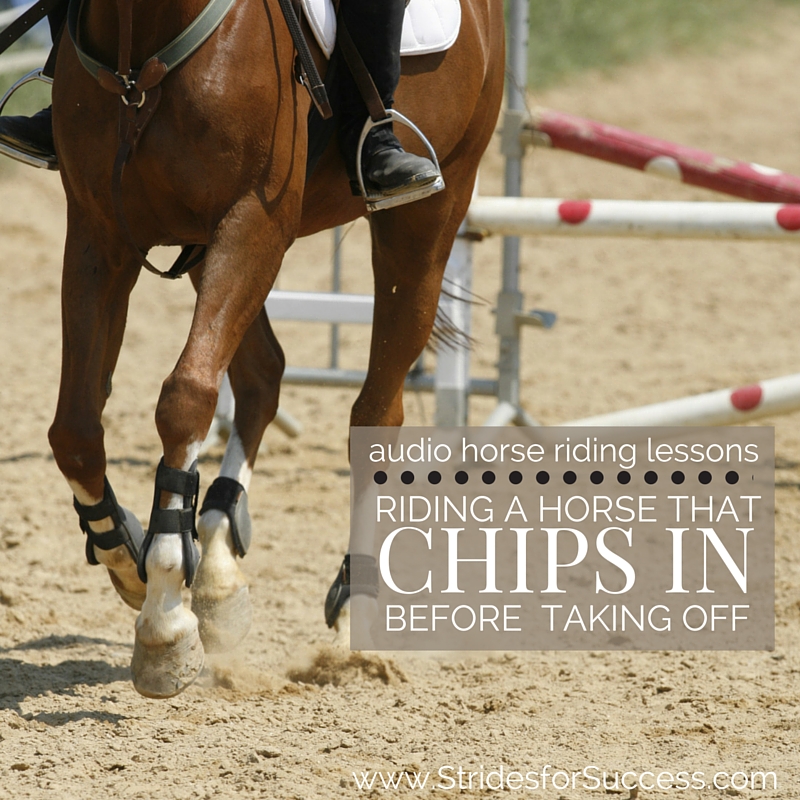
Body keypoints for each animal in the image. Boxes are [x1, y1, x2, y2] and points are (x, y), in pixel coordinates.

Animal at [46, 0, 505, 697]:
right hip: (206, 252)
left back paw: (356, 610)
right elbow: (73, 428)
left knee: (376, 412)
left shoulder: (252, 220)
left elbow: (185, 398)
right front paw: (125, 557)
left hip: (427, 219)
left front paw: (165, 618)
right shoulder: (101, 232)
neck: (141, 39)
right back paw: (216, 567)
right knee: (263, 374)